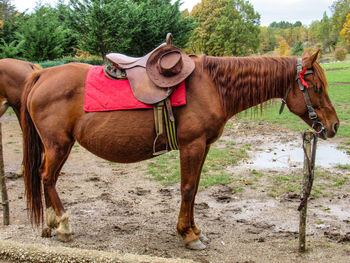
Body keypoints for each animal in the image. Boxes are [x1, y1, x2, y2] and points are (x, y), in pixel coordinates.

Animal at [19, 50, 340, 251]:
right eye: (315, 86)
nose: (334, 125)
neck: (213, 86)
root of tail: (42, 75)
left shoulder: (203, 147)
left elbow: (195, 188)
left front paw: (194, 230)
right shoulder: (192, 145)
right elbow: (187, 188)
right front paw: (187, 235)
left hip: (56, 146)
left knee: (46, 177)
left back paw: (50, 224)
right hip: (59, 145)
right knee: (47, 177)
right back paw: (63, 225)